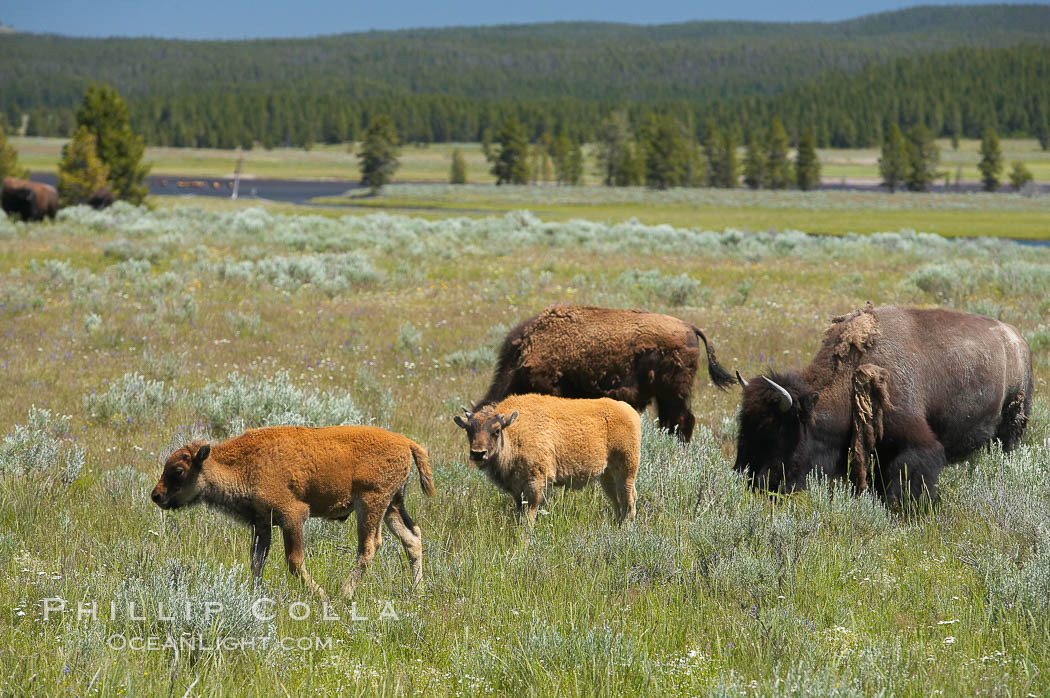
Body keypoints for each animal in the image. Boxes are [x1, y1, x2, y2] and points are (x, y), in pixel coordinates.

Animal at [151, 424, 434, 600]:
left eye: (178, 470)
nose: (156, 495)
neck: (244, 463)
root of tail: (406, 442)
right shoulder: (262, 525)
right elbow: (257, 562)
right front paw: (254, 595)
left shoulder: (293, 517)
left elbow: (294, 561)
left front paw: (321, 597)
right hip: (393, 506)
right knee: (412, 537)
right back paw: (417, 592)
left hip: (371, 504)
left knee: (369, 546)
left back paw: (342, 596)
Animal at [451, 392, 638, 522]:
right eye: (468, 429)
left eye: (496, 431)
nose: (478, 453)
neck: (513, 432)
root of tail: (629, 411)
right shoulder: (517, 491)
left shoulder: (535, 485)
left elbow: (529, 518)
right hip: (607, 476)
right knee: (618, 503)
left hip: (626, 471)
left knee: (628, 503)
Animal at [476, 304, 730, 440]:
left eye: (495, 431)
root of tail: (690, 327)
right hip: (667, 396)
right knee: (672, 422)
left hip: (673, 394)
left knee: (682, 421)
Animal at [734, 302, 1029, 503]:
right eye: (743, 427)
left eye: (777, 431)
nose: (753, 483)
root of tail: (1017, 338)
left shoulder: (914, 442)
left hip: (1012, 426)